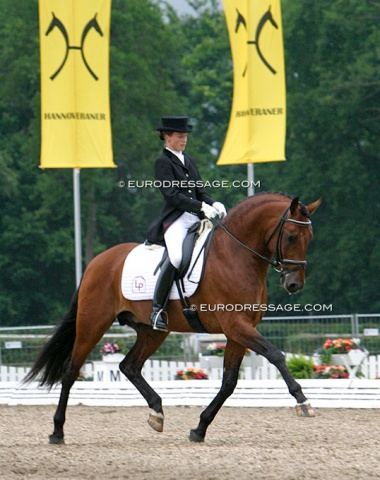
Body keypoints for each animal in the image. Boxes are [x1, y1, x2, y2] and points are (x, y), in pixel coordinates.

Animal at [24, 191, 320, 442]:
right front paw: (302, 401)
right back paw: (57, 432)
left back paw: (157, 412)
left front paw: (199, 428)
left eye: (309, 237)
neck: (236, 256)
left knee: (129, 366)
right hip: (92, 323)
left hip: (152, 331)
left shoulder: (238, 331)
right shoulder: (236, 326)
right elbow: (275, 354)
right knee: (71, 371)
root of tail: (96, 262)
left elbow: (228, 382)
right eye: (291, 236)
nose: (294, 284)